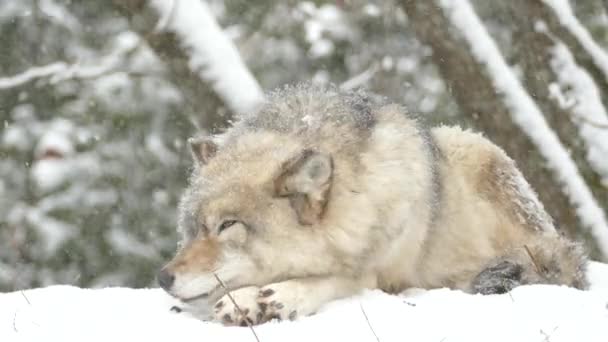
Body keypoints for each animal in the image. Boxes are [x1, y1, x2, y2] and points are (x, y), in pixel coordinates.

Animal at [157, 83, 588, 326]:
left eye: (227, 225)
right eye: (191, 229)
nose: (162, 278)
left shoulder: (380, 271)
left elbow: (340, 278)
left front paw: (275, 296)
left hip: (475, 150)